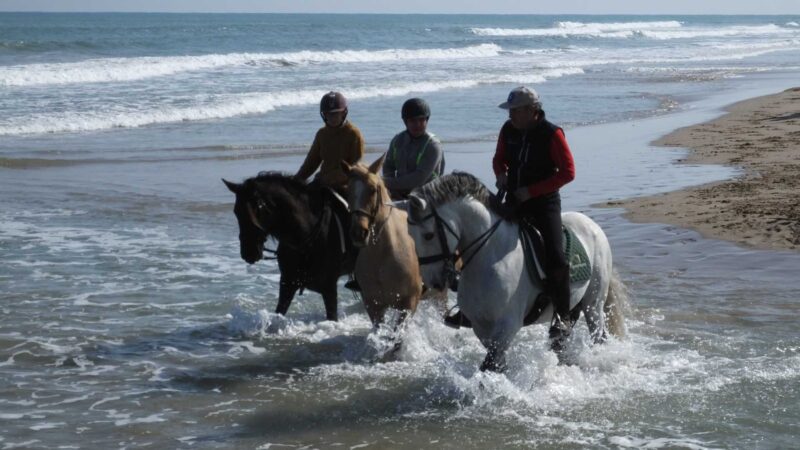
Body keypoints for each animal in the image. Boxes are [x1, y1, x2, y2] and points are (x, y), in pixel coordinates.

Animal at [223, 172, 357, 321]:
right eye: (236, 212)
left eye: (256, 211)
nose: (248, 253)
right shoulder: (287, 284)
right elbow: (279, 313)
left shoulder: (329, 288)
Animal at [340, 155, 423, 333]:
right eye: (348, 190)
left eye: (372, 189)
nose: (358, 233)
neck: (384, 254)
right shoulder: (373, 304)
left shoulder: (409, 304)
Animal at [406, 172, 625, 372]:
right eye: (410, 235)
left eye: (428, 235)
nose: (433, 282)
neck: (490, 255)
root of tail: (593, 225)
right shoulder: (481, 328)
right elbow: (497, 365)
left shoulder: (507, 326)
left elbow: (490, 365)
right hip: (574, 306)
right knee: (562, 339)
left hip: (593, 304)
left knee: (597, 335)